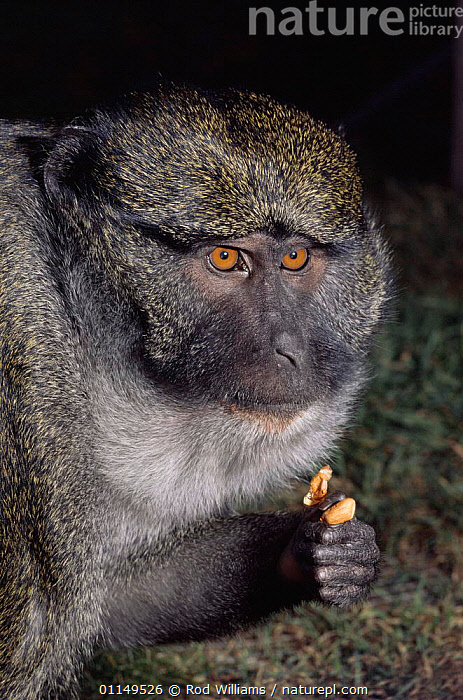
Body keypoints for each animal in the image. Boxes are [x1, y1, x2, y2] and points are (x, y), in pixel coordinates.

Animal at [0, 83, 392, 699]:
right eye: (226, 257)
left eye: (296, 256)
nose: (288, 350)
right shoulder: (28, 357)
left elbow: (119, 597)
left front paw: (314, 553)